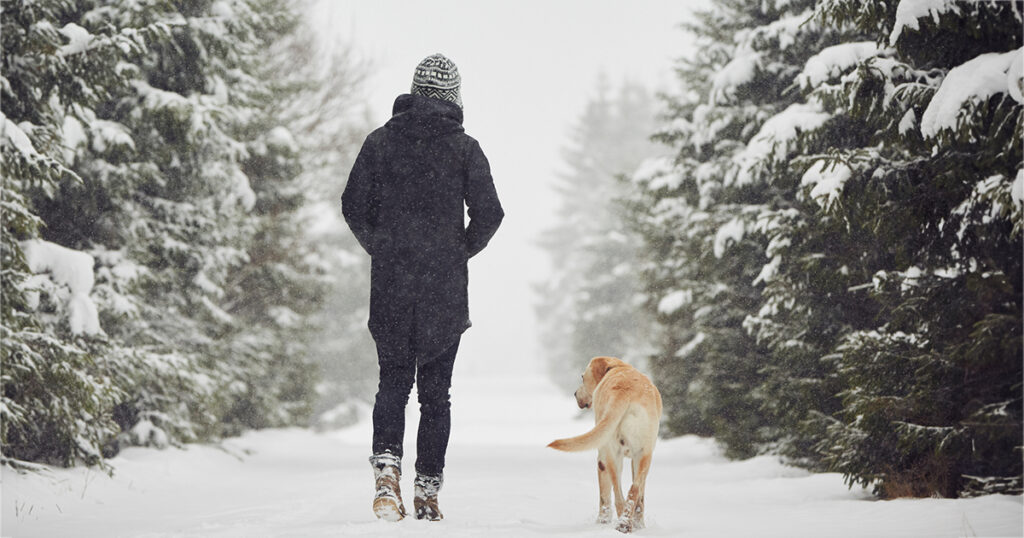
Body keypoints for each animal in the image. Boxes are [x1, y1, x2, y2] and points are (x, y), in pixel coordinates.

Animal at [548, 356, 659, 532]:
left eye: (582, 377)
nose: (574, 393)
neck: (617, 368)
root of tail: (625, 391)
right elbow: (640, 496)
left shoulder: (602, 457)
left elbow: (604, 496)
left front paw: (602, 521)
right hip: (643, 454)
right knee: (633, 491)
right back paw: (626, 524)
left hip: (612, 455)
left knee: (618, 496)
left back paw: (622, 524)